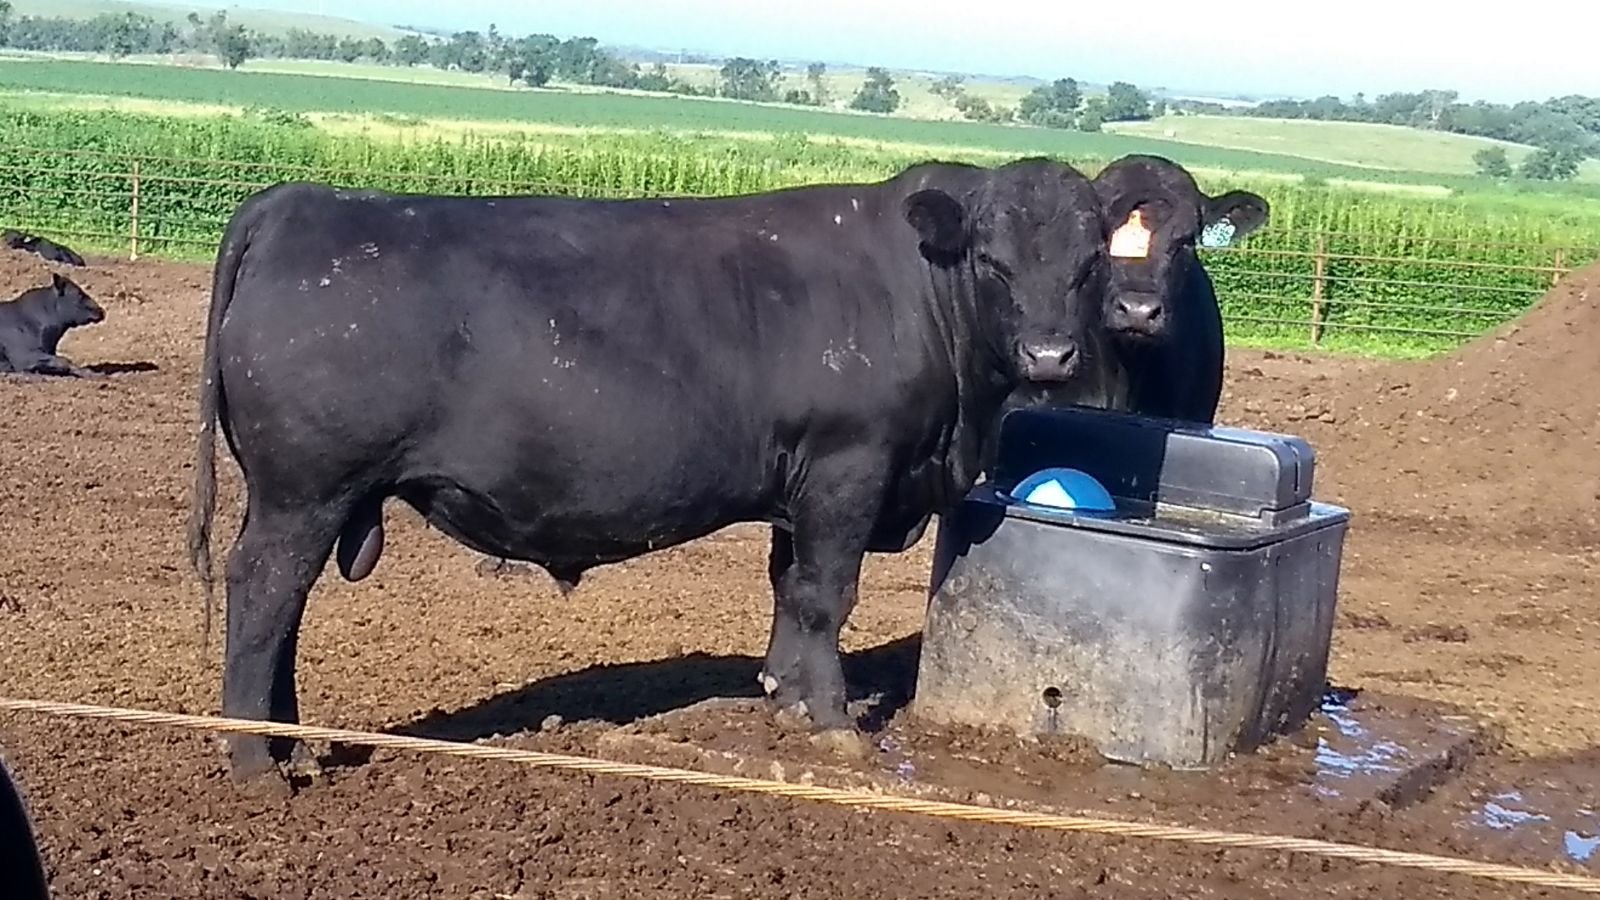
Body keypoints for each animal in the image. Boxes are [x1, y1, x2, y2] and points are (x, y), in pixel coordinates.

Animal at [186, 157, 1123, 784]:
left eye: (1091, 264)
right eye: (993, 260)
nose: (1049, 355)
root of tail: (300, 200)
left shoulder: (800, 485)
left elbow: (789, 588)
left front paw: (782, 697)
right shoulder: (848, 469)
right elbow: (828, 594)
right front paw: (832, 724)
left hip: (312, 496)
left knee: (284, 606)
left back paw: (290, 746)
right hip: (303, 492)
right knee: (265, 592)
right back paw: (257, 761)